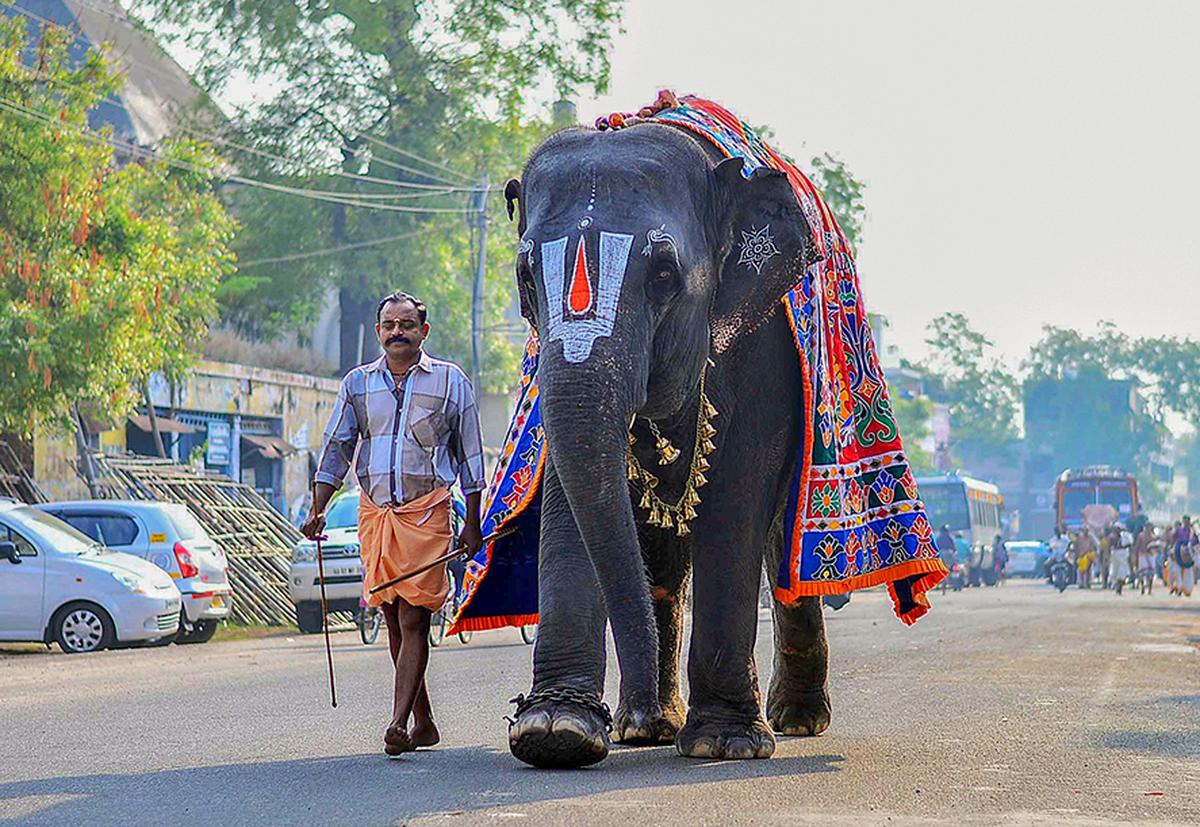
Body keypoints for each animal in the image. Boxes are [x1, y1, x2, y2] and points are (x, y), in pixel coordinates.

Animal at [502, 120, 833, 768]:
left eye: (662, 276)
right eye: (526, 278)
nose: (618, 713)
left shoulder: (762, 343)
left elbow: (739, 486)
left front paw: (724, 742)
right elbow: (567, 487)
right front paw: (556, 731)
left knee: (782, 543)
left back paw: (797, 721)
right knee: (658, 555)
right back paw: (647, 728)